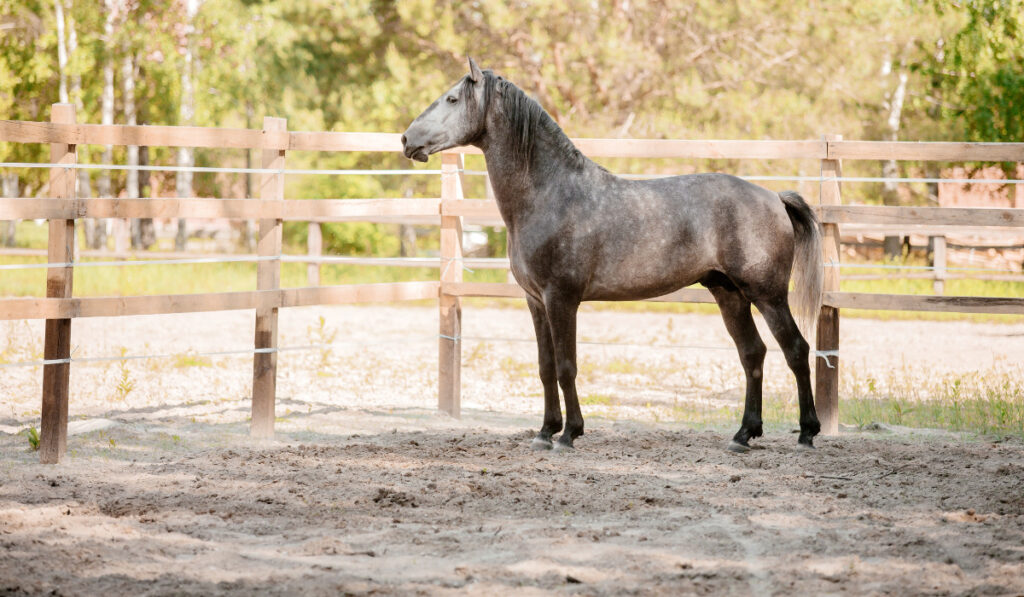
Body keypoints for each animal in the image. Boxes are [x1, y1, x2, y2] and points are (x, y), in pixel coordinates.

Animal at [399, 59, 823, 452]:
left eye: (452, 99)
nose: (406, 139)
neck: (550, 194)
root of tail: (774, 197)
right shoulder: (535, 300)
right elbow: (545, 367)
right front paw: (544, 432)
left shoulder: (562, 298)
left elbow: (566, 367)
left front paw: (569, 434)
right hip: (729, 294)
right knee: (753, 354)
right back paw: (743, 435)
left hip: (768, 295)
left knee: (796, 350)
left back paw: (807, 433)